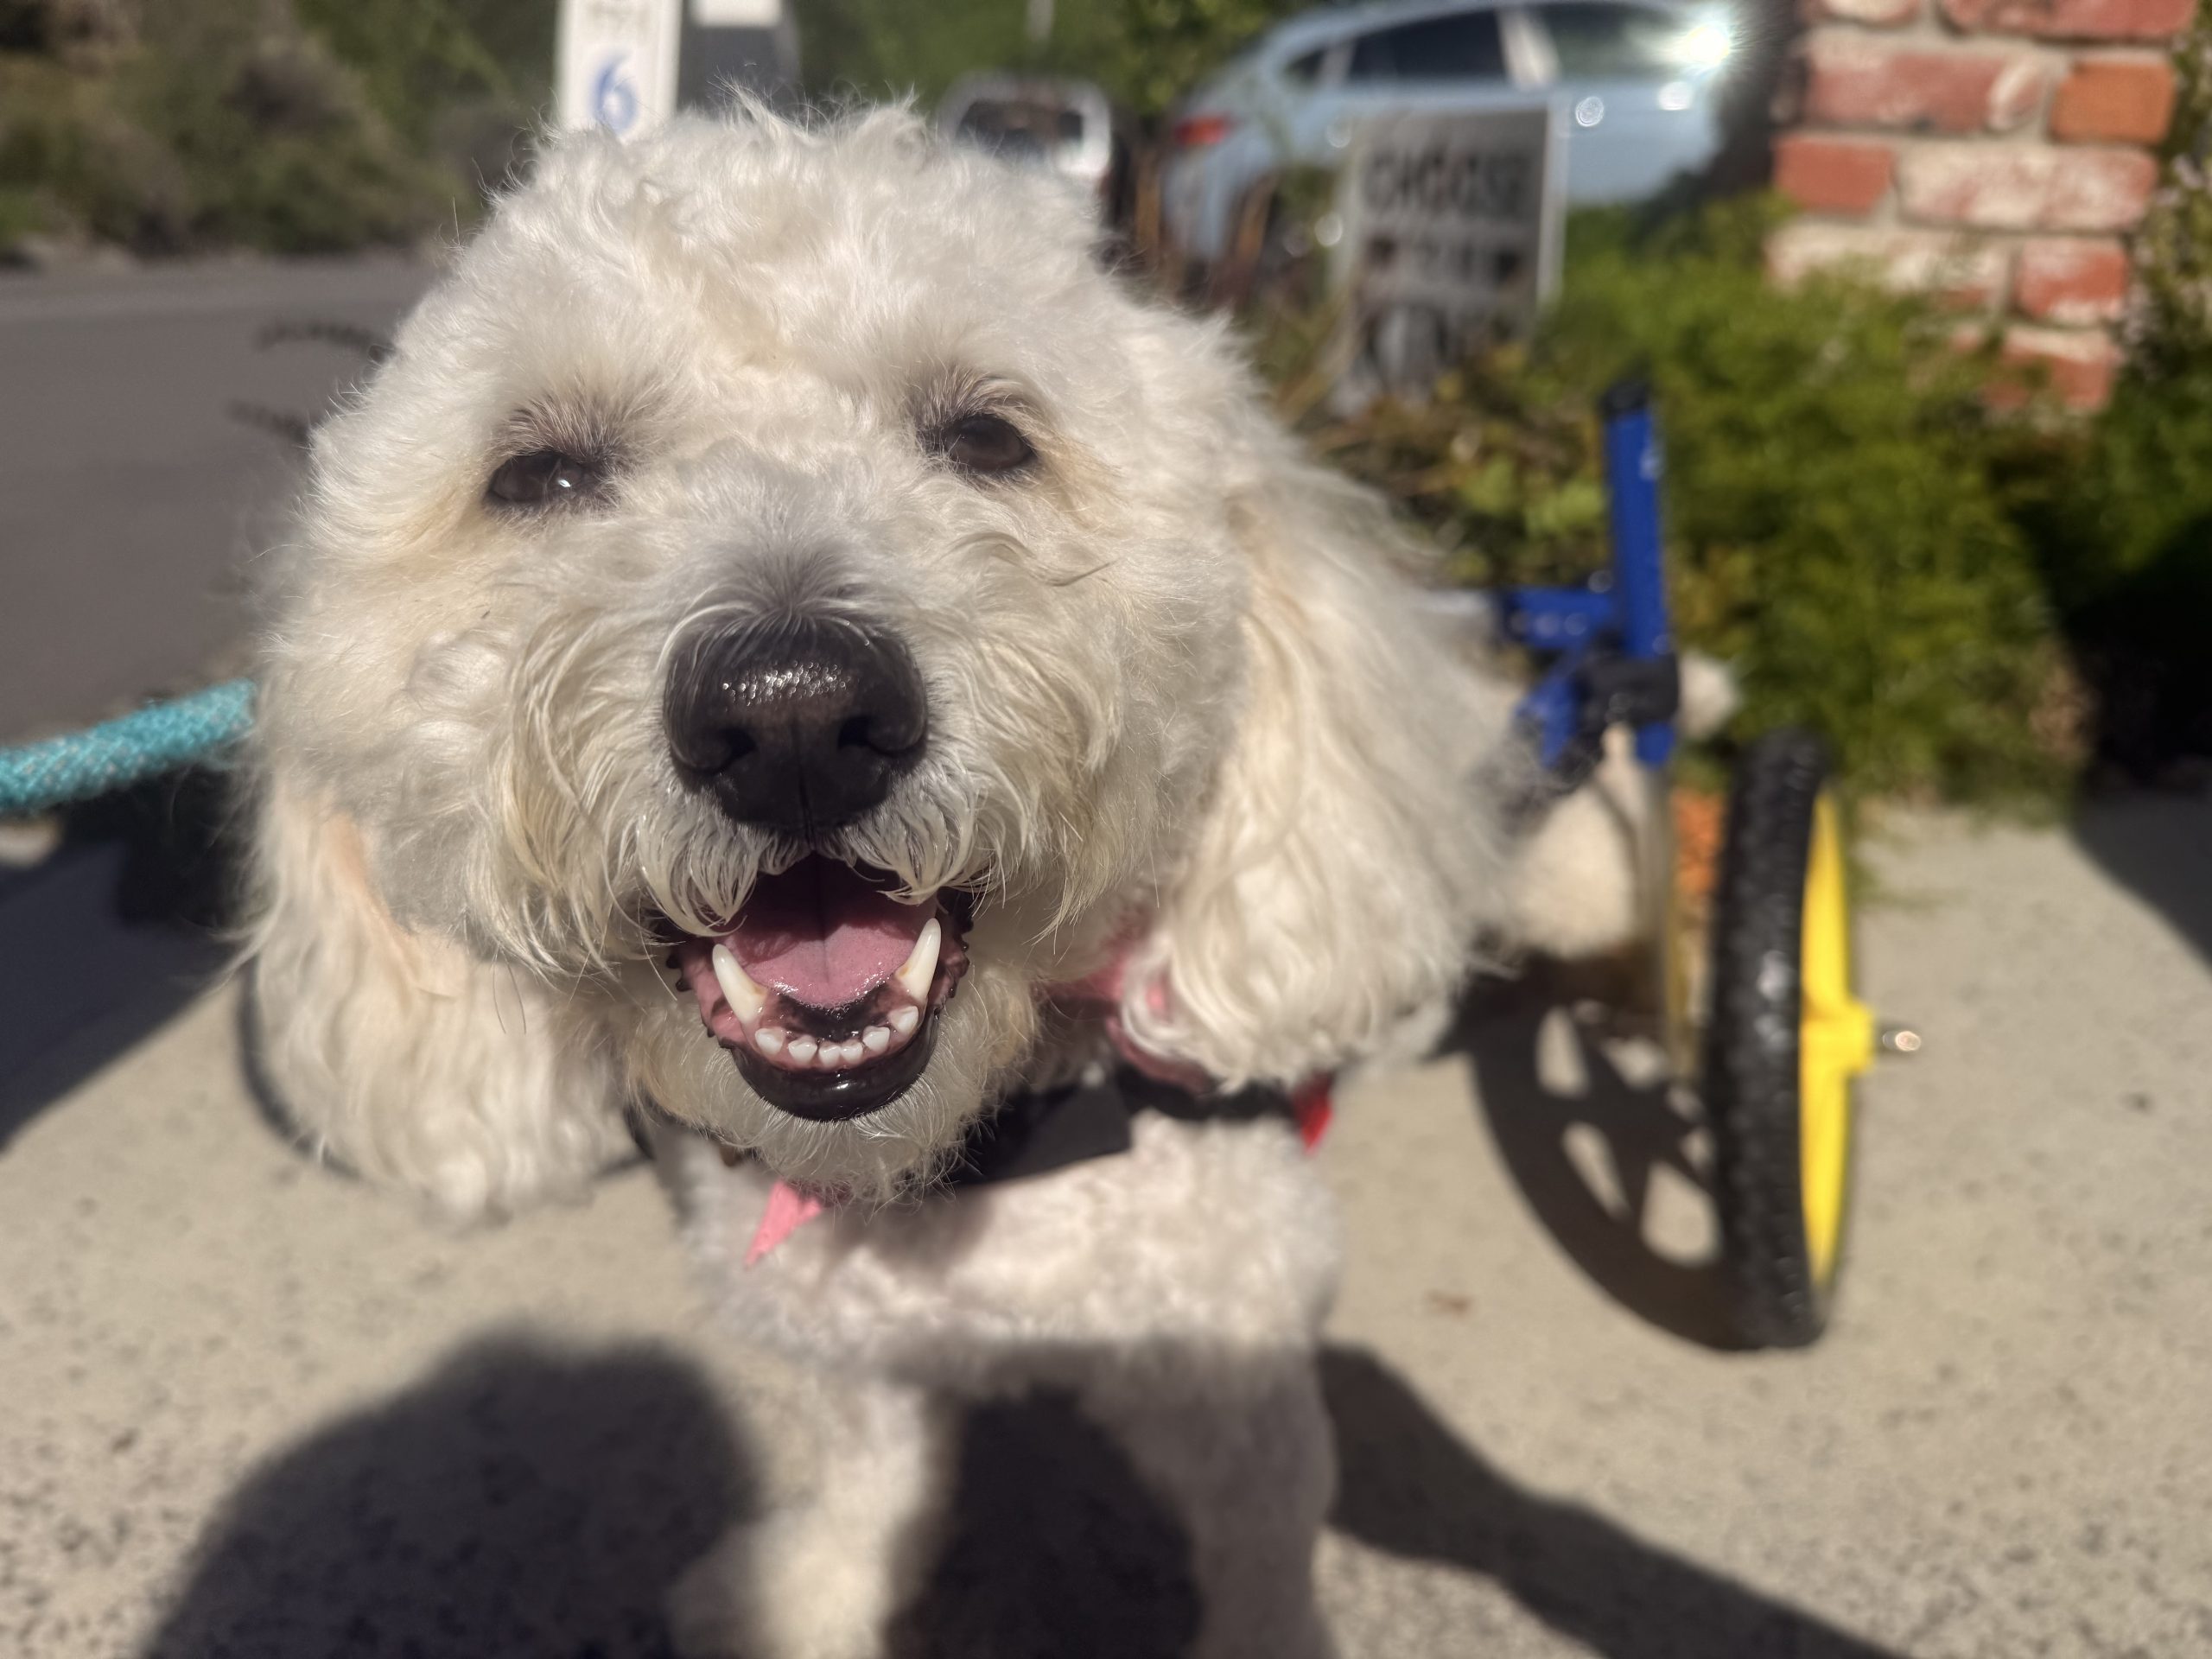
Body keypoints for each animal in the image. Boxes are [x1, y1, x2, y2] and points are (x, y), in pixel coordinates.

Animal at [247, 104, 1566, 1658]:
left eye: (989, 436)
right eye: (539, 475)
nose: (793, 718)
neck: (955, 1168)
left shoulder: (1243, 1396)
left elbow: (1261, 1565)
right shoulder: (860, 1361)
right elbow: (871, 1490)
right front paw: (811, 1595)